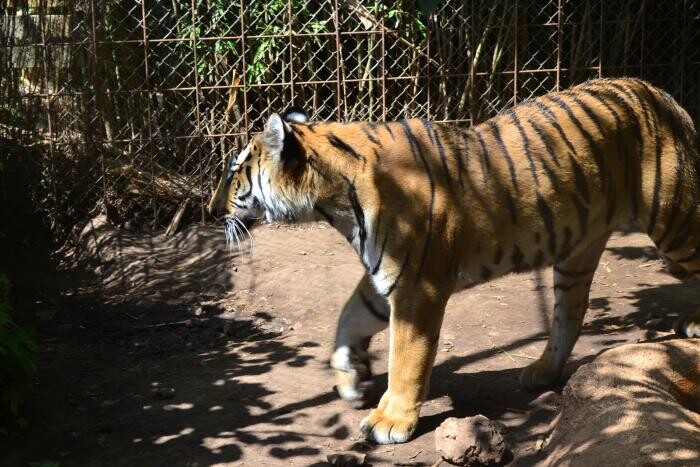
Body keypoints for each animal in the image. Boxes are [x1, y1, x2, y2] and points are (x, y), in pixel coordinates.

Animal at [208, 78, 700, 444]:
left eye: (234, 173)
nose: (212, 211)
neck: (335, 205)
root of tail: (662, 94)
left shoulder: (417, 287)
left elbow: (407, 358)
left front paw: (390, 420)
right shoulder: (385, 275)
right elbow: (348, 318)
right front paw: (351, 377)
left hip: (674, 222)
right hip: (577, 253)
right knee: (570, 315)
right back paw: (541, 372)